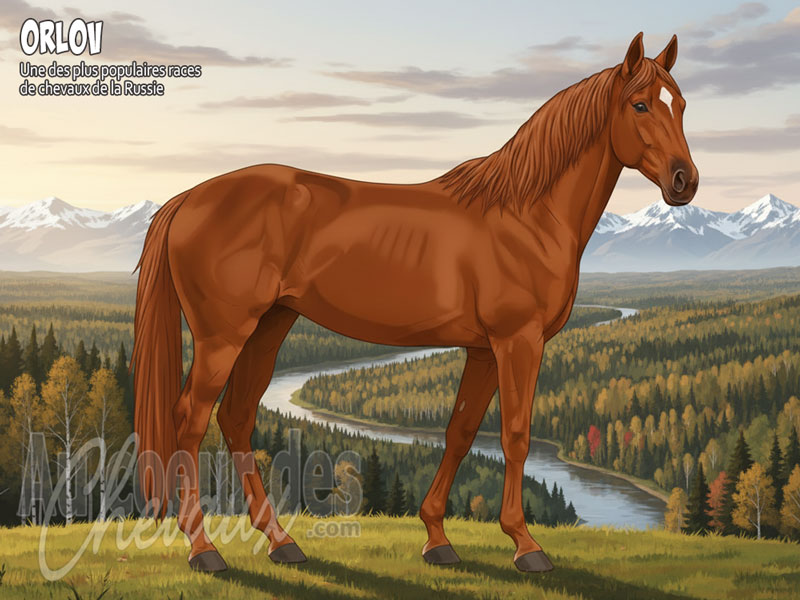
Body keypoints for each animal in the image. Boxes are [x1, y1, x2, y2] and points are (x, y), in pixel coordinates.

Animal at [132, 32, 698, 573]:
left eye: (682, 104)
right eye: (640, 105)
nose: (684, 181)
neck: (526, 214)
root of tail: (188, 199)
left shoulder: (484, 350)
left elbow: (461, 432)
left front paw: (437, 538)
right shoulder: (518, 342)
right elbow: (515, 435)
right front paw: (525, 545)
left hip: (271, 325)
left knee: (236, 417)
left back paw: (281, 542)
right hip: (222, 336)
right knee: (191, 419)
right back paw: (203, 548)